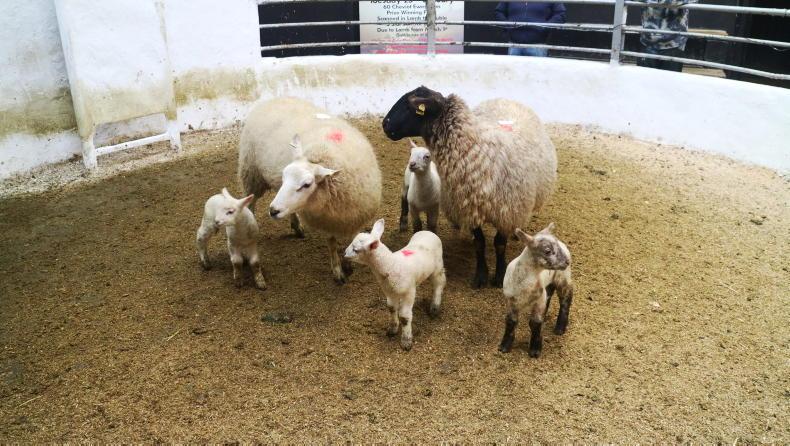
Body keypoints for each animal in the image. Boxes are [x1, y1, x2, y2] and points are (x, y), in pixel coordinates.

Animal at [266, 125, 382, 284]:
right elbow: (332, 244)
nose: (273, 210)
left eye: (307, 184)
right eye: (283, 176)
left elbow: (353, 241)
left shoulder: (355, 218)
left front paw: (348, 265)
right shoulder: (327, 222)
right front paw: (338, 271)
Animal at [344, 219, 446, 351]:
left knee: (439, 283)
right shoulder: (389, 292)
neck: (392, 265)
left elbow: (405, 317)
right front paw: (392, 329)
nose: (344, 254)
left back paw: (434, 307)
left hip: (437, 266)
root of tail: (428, 232)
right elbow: (391, 309)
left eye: (356, 249)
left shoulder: (409, 292)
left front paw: (406, 341)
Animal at [382, 86, 557, 289]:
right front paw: (481, 276)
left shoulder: (506, 212)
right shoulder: (470, 207)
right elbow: (479, 243)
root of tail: (506, 99)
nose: (385, 124)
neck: (475, 149)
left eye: (410, 106)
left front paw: (499, 275)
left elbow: (499, 244)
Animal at [498, 223, 573, 358]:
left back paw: (560, 328)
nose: (567, 262)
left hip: (563, 277)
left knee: (566, 299)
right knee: (549, 293)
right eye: (547, 251)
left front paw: (535, 349)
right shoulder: (511, 301)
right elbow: (511, 321)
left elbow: (535, 323)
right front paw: (505, 346)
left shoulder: (538, 302)